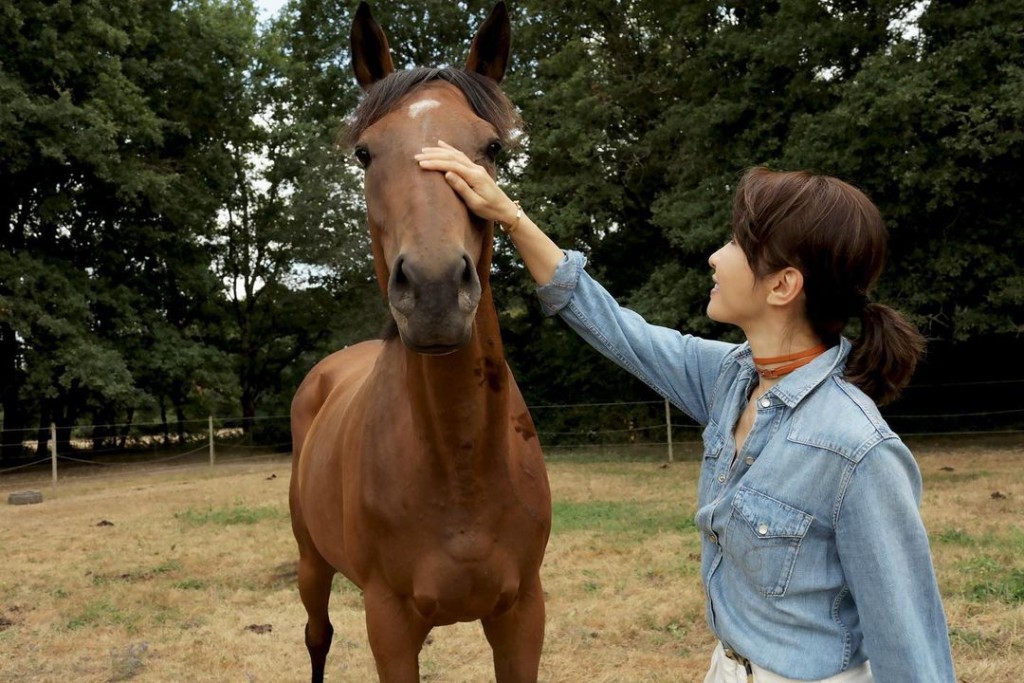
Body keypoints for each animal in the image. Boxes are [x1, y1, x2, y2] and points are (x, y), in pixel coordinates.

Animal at [288, 2, 552, 679]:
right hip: (311, 567)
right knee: (317, 637)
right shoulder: (389, 623)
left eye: (491, 148)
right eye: (364, 153)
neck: (459, 469)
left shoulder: (522, 616)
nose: (433, 292)